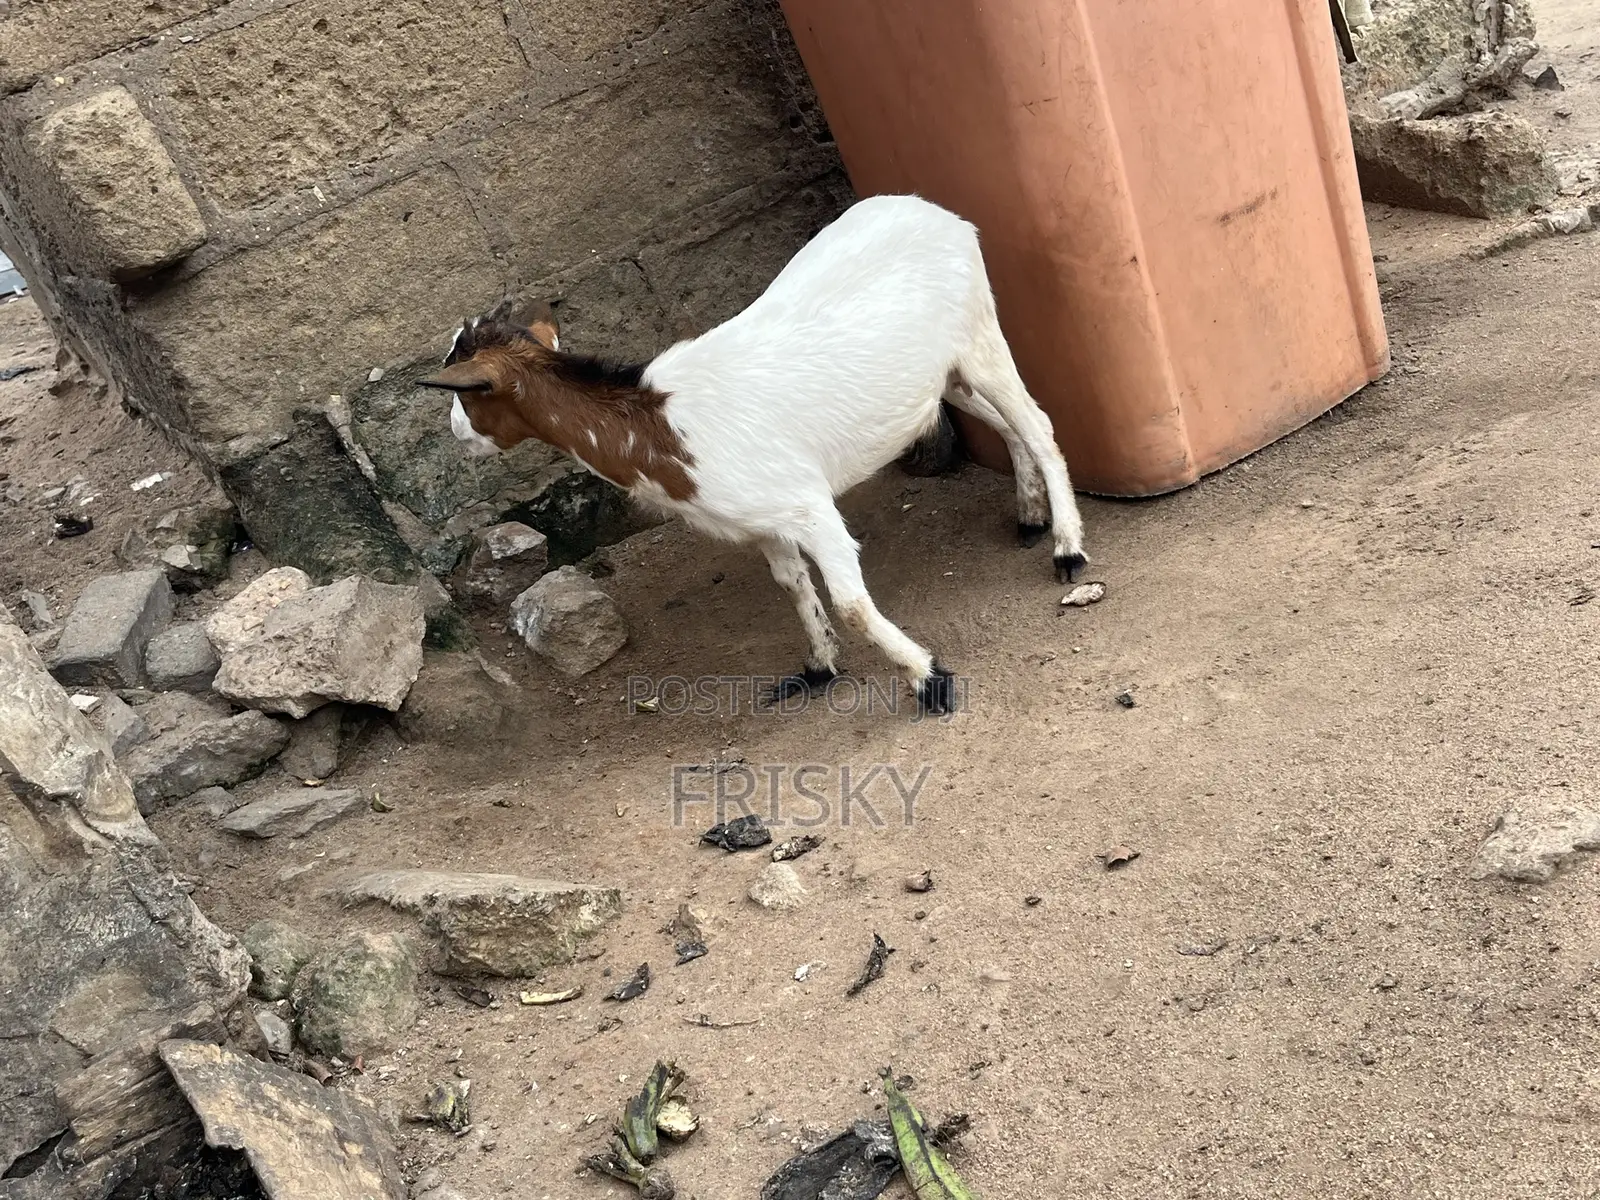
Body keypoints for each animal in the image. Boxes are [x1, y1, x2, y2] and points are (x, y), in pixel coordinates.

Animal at [418, 194, 1087, 714]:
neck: (661, 427)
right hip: (942, 374)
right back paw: (1029, 515)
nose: (457, 433)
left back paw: (1067, 549)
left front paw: (928, 679)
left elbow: (851, 603)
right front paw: (817, 669)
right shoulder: (765, 521)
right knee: (1007, 427)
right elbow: (793, 587)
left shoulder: (809, 507)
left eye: (464, 391)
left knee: (1038, 424)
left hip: (979, 335)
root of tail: (938, 213)